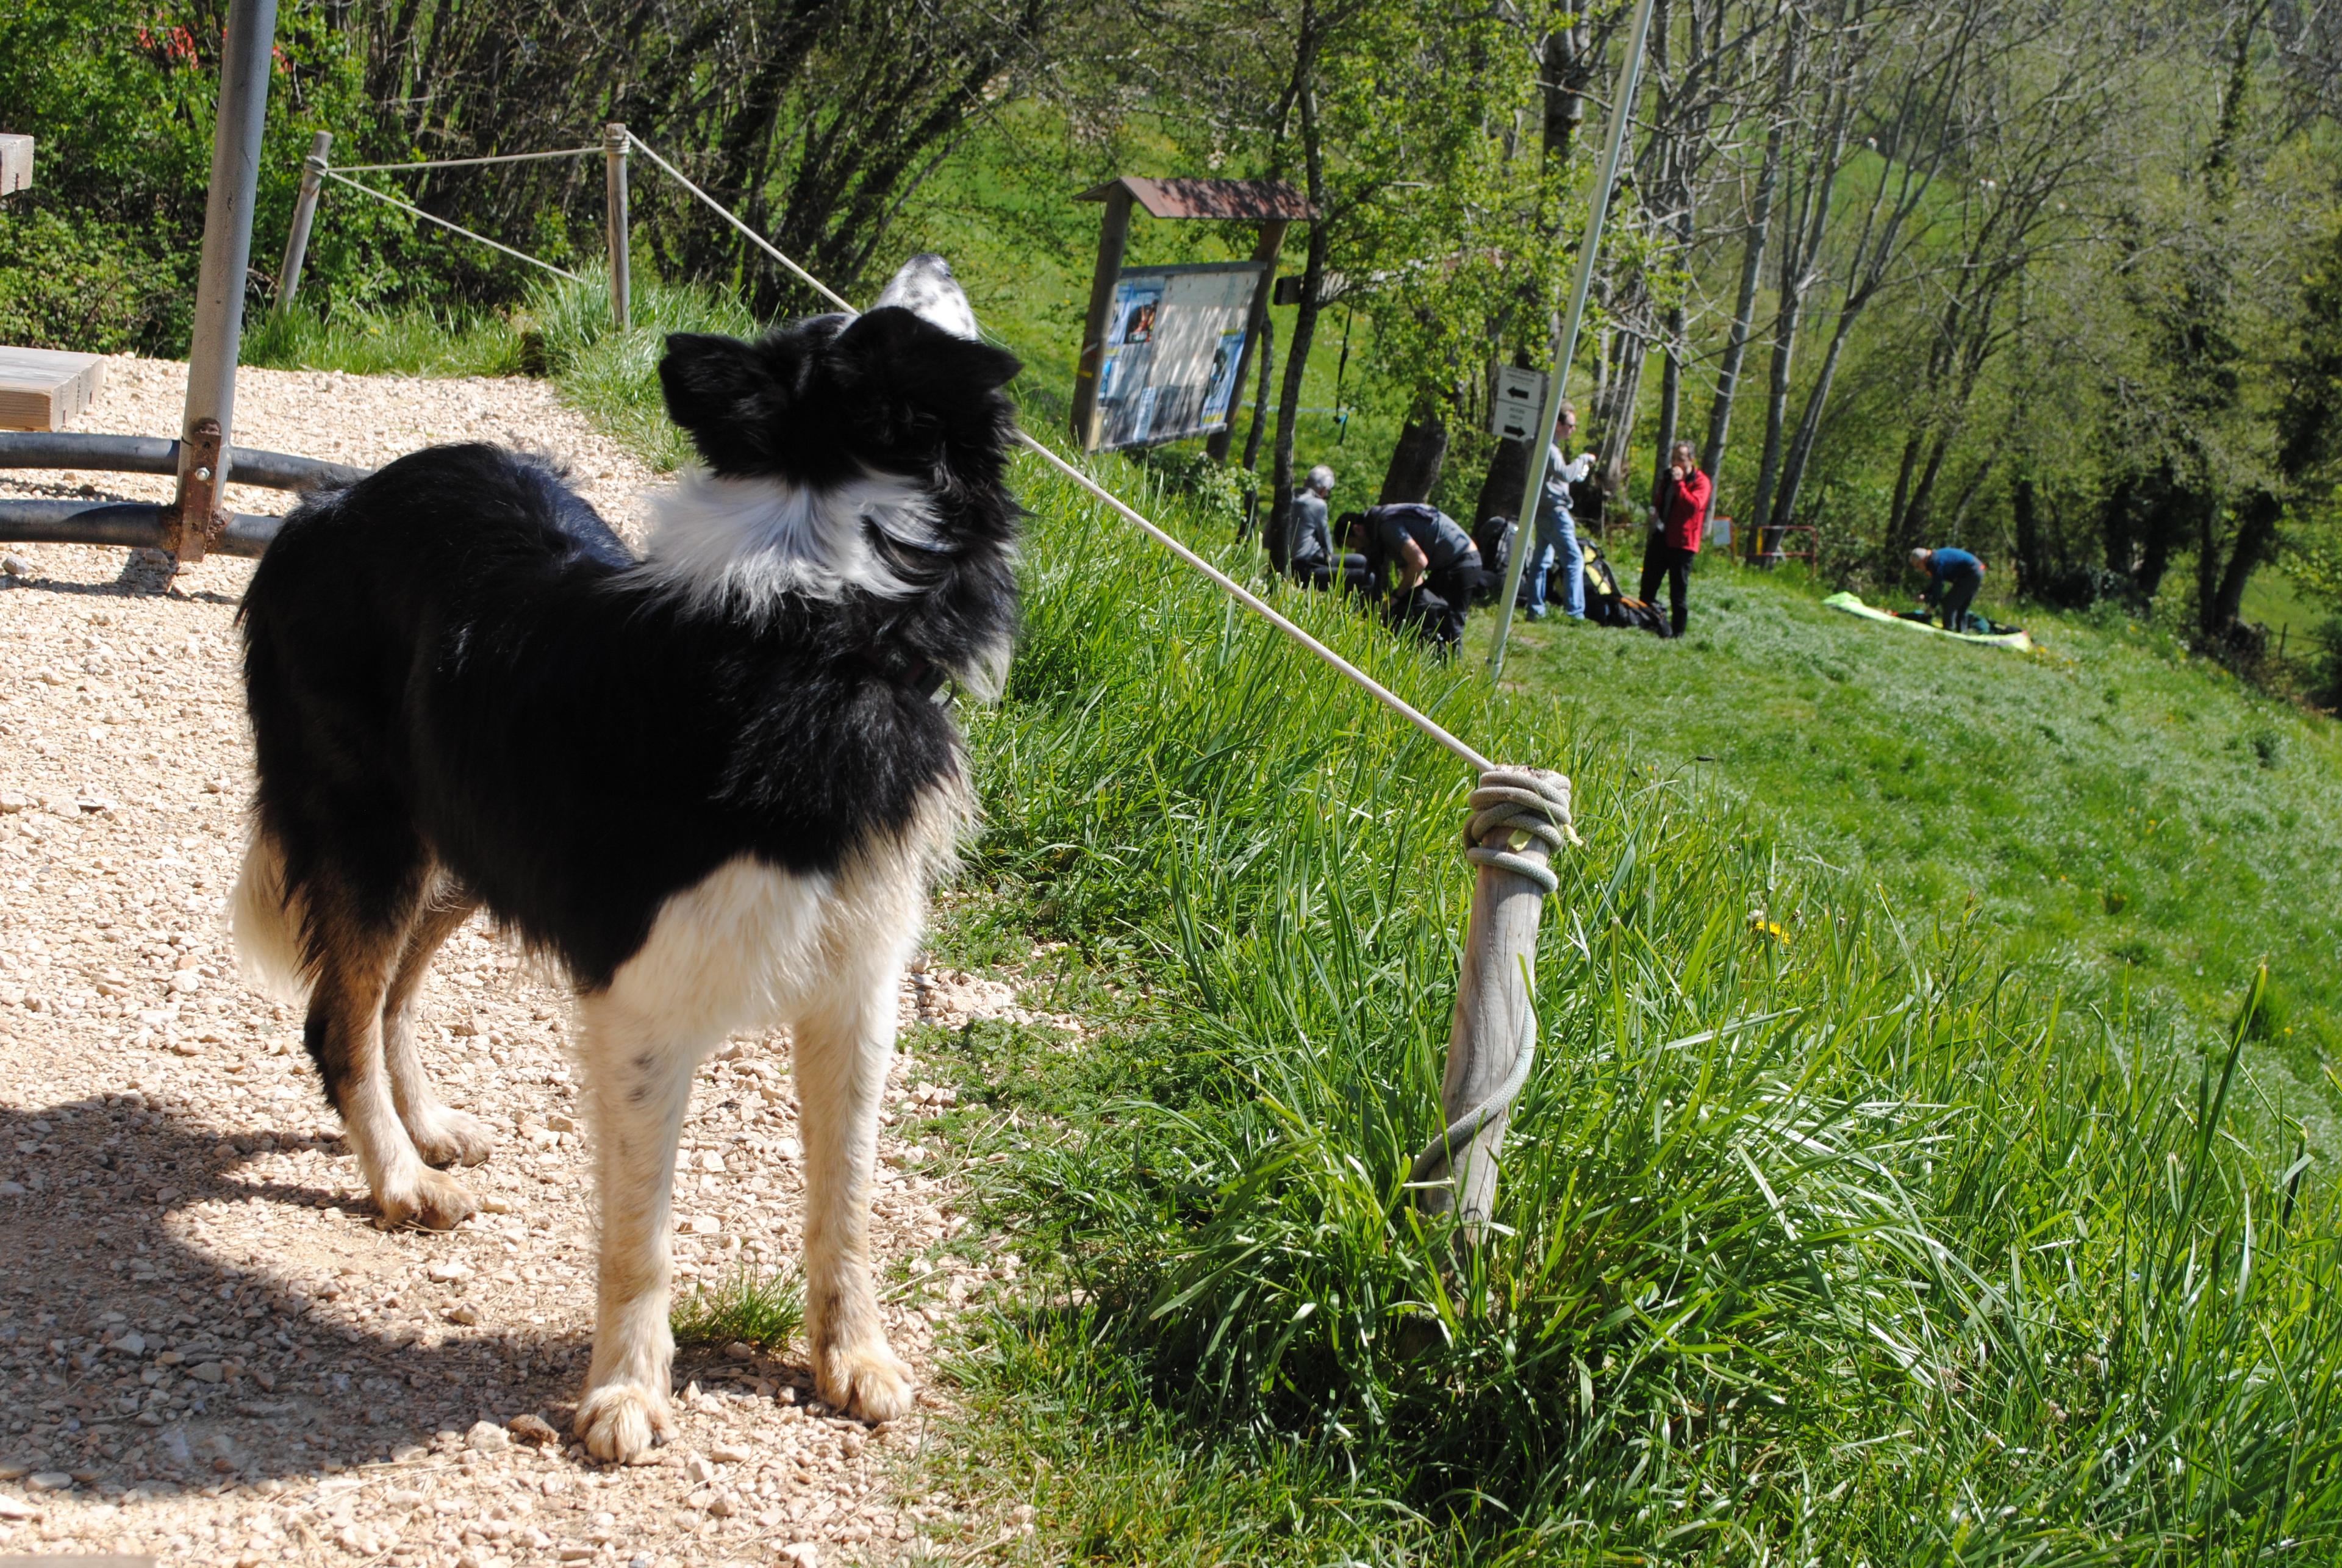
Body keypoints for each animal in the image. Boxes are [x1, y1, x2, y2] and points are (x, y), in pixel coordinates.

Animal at [231, 251, 1025, 1469]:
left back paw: (427, 1130)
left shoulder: (857, 985)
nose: (934, 260)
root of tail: (326, 504)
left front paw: (855, 1360)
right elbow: (640, 1229)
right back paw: (400, 1177)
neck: (821, 630)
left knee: (391, 992)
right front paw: (625, 1393)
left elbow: (846, 1198)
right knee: (338, 1015)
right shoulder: (642, 1002)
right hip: (373, 835)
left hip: (468, 843)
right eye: (899, 321)